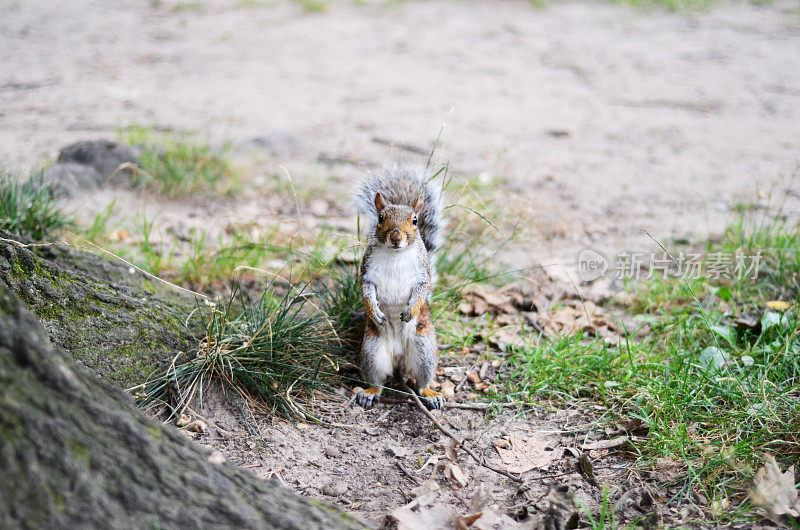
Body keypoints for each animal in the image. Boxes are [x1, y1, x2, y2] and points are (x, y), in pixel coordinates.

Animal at [354, 164, 446, 408]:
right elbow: (366, 291)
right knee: (377, 380)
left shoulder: (422, 273)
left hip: (424, 351)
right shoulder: (367, 271)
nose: (396, 237)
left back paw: (430, 393)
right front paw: (374, 311)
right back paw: (369, 392)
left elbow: (423, 289)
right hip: (372, 353)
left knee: (422, 381)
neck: (395, 254)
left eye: (415, 220)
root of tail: (398, 360)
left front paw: (410, 310)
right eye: (381, 217)